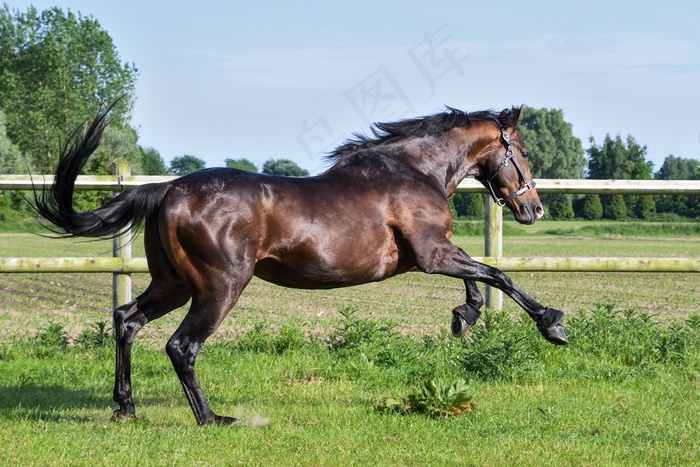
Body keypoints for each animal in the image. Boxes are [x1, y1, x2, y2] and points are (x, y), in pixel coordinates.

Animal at [34, 104, 568, 426]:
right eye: (522, 151)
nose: (534, 209)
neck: (415, 172)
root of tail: (166, 189)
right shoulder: (433, 254)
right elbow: (498, 274)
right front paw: (553, 325)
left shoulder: (434, 256)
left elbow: (481, 280)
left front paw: (465, 317)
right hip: (220, 287)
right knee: (181, 346)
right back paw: (211, 419)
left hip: (174, 285)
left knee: (127, 320)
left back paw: (125, 408)